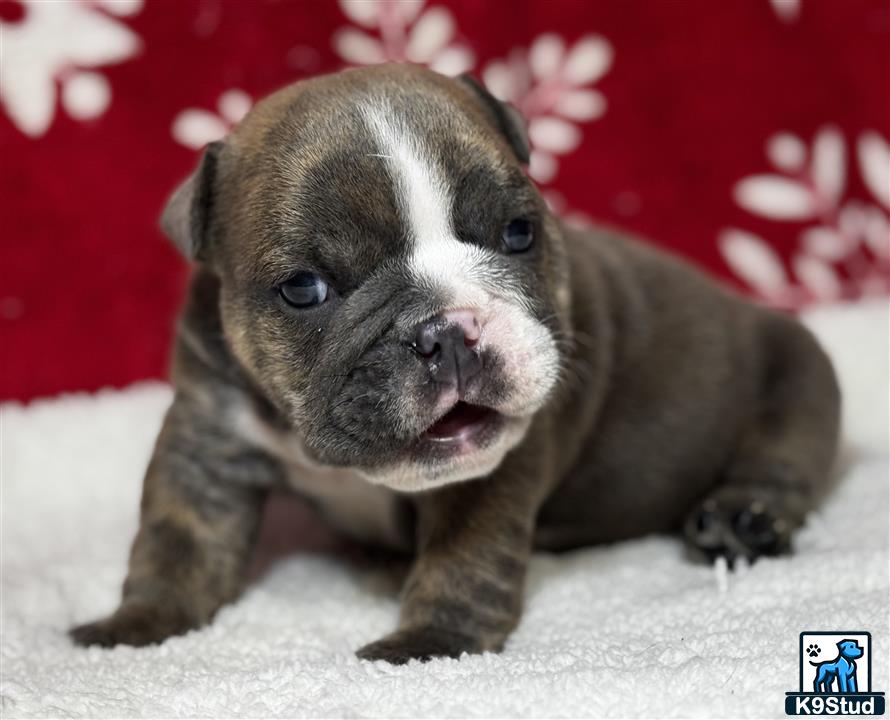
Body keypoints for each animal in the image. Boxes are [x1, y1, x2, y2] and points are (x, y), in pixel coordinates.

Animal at [69, 63, 840, 664]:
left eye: (519, 232)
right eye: (304, 289)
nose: (447, 331)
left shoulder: (494, 473)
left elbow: (466, 558)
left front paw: (430, 644)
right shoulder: (205, 443)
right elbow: (175, 540)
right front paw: (136, 626)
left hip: (800, 371)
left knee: (785, 458)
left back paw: (740, 519)